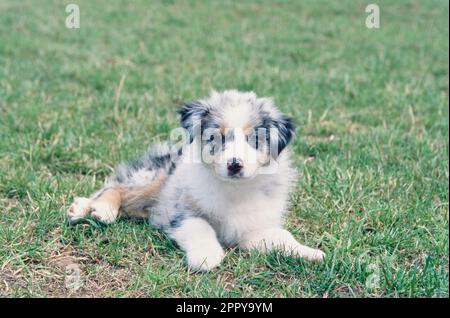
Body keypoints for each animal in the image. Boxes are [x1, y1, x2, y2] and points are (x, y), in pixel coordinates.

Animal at [67, 89, 324, 270]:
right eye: (216, 137)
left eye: (255, 139)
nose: (234, 164)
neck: (234, 188)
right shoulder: (183, 210)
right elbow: (201, 227)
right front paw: (206, 256)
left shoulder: (253, 228)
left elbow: (282, 236)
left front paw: (309, 252)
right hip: (159, 178)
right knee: (117, 187)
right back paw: (99, 209)